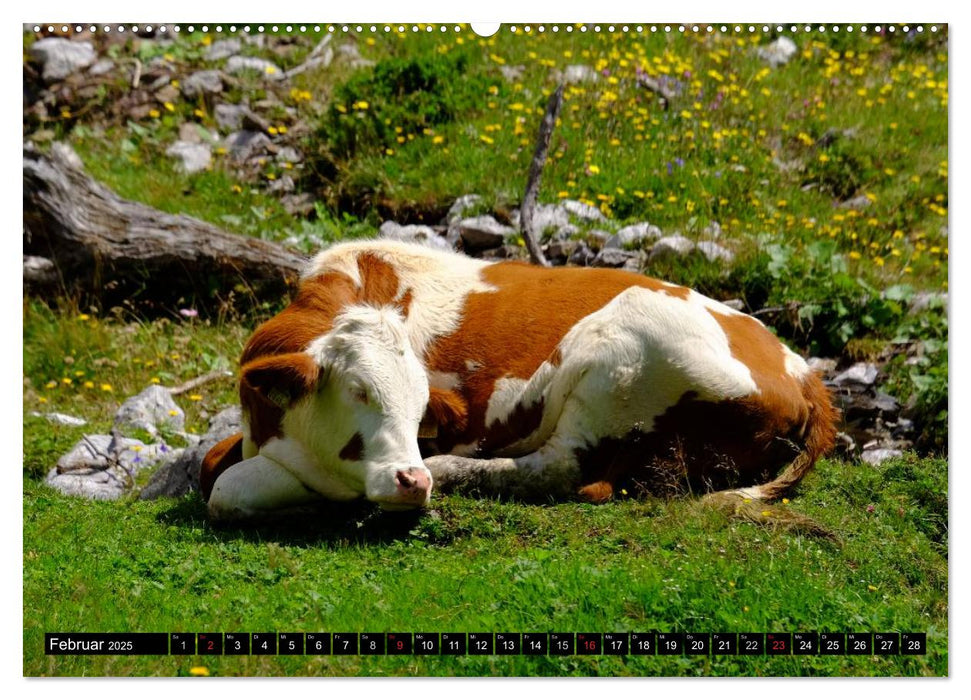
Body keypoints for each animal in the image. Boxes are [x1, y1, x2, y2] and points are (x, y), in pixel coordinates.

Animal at [201, 241, 840, 520]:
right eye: (358, 390)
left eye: (420, 406)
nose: (411, 479)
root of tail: (801, 367)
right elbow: (212, 466)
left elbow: (226, 490)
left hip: (622, 352)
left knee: (565, 470)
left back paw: (451, 470)